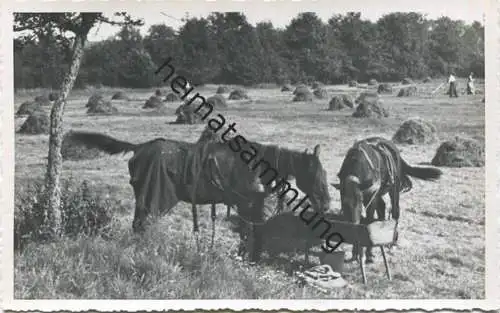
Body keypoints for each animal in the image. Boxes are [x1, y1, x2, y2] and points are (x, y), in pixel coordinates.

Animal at [67, 129, 332, 260]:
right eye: (316, 174)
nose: (327, 204)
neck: (255, 166)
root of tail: (138, 147)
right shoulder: (246, 205)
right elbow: (248, 233)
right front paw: (246, 259)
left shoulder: (251, 206)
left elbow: (255, 233)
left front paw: (252, 258)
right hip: (151, 197)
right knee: (142, 224)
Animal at [332, 136, 442, 264]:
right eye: (345, 204)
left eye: (360, 202)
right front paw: (355, 253)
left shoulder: (371, 199)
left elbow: (369, 220)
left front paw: (369, 254)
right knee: (382, 208)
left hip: (394, 190)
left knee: (395, 211)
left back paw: (392, 241)